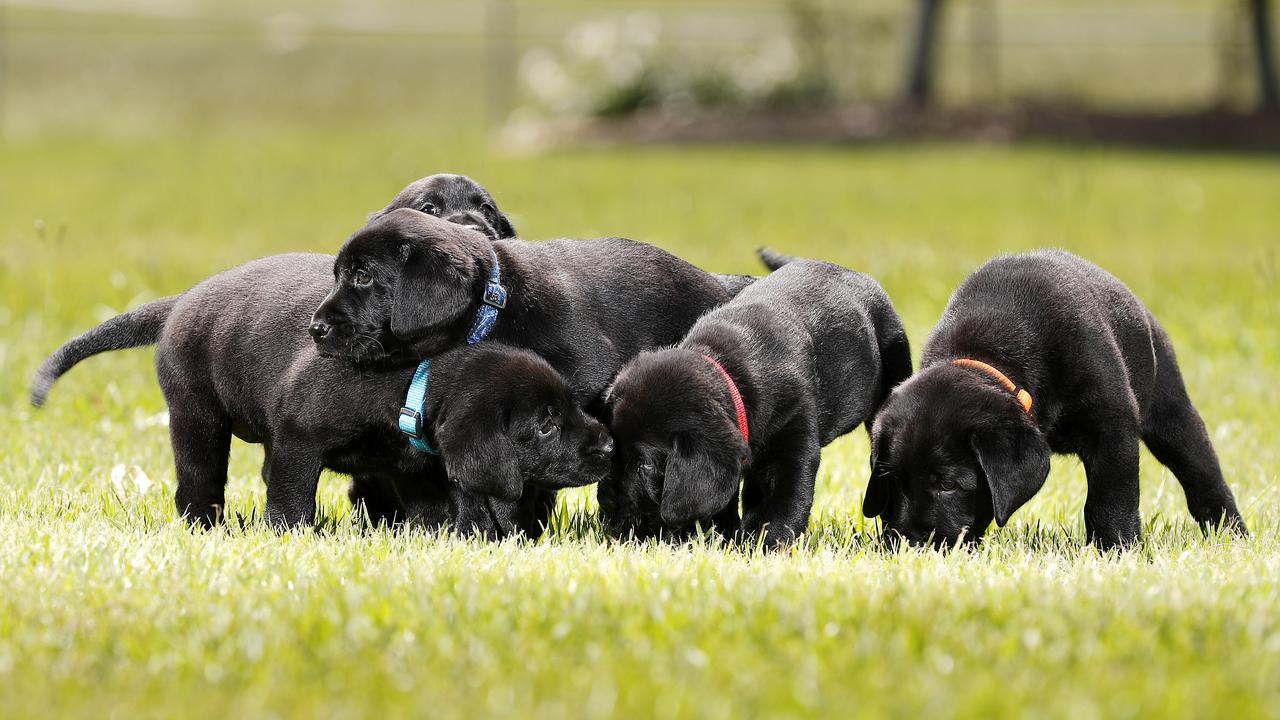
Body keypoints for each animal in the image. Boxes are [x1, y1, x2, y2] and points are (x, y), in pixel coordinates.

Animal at [30, 251, 609, 527]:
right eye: (545, 423)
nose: (608, 445)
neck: (412, 380)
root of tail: (182, 301)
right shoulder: (298, 441)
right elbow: (291, 503)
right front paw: (286, 536)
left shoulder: (417, 469)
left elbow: (436, 512)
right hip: (196, 419)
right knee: (197, 484)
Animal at [596, 251, 911, 543]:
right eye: (614, 448)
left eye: (644, 465)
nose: (605, 499)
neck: (730, 370)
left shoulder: (791, 446)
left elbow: (782, 502)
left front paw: (769, 543)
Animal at [865, 249, 1244, 545]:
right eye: (892, 481)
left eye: (947, 484)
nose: (910, 542)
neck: (991, 354)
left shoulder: (1112, 427)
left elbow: (1110, 498)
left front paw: (1116, 548)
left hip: (1170, 411)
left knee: (1202, 474)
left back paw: (1231, 533)